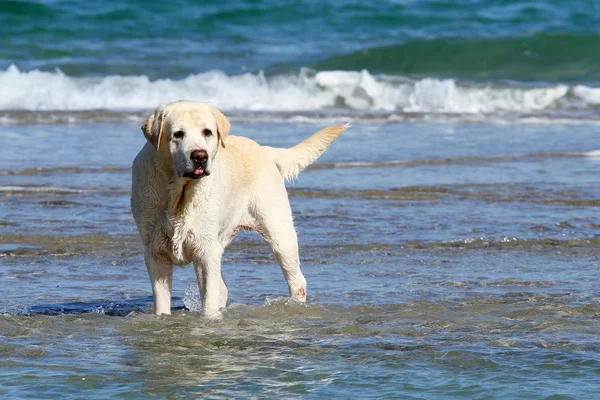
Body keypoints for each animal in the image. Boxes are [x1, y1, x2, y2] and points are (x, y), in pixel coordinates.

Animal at [131, 101, 346, 318]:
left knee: (296, 279)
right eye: (177, 134)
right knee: (222, 288)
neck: (179, 195)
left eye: (207, 132)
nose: (200, 156)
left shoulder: (206, 249)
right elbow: (163, 303)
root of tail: (264, 150)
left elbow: (209, 299)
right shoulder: (155, 252)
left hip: (279, 231)